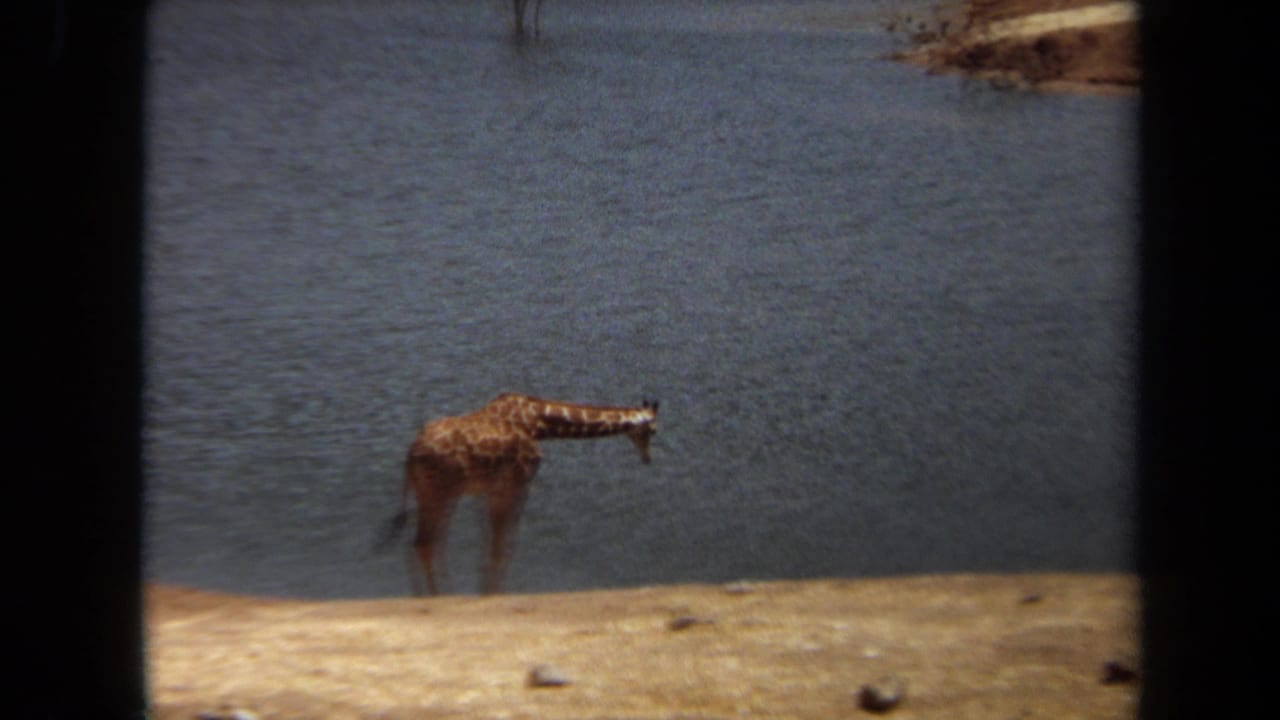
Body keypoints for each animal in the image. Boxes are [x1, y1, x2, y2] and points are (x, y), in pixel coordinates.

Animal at [385, 393, 658, 596]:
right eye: (653, 431)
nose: (648, 458)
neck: (539, 423)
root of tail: (411, 454)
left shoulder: (489, 490)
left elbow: (489, 546)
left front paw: (485, 590)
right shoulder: (519, 482)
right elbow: (503, 547)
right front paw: (494, 594)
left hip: (434, 492)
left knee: (426, 542)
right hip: (438, 493)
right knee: (425, 542)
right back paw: (436, 596)